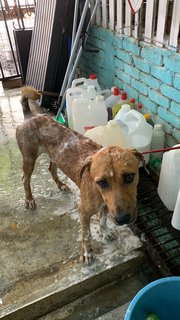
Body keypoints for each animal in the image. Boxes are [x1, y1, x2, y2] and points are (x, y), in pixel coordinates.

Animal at [15, 87, 145, 262]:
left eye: (130, 177)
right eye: (102, 182)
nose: (122, 219)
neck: (98, 192)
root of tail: (30, 115)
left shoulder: (106, 206)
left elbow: (103, 220)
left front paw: (105, 232)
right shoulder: (83, 212)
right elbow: (86, 234)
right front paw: (87, 252)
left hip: (55, 157)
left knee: (51, 169)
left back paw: (61, 185)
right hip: (29, 158)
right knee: (25, 178)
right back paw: (29, 199)